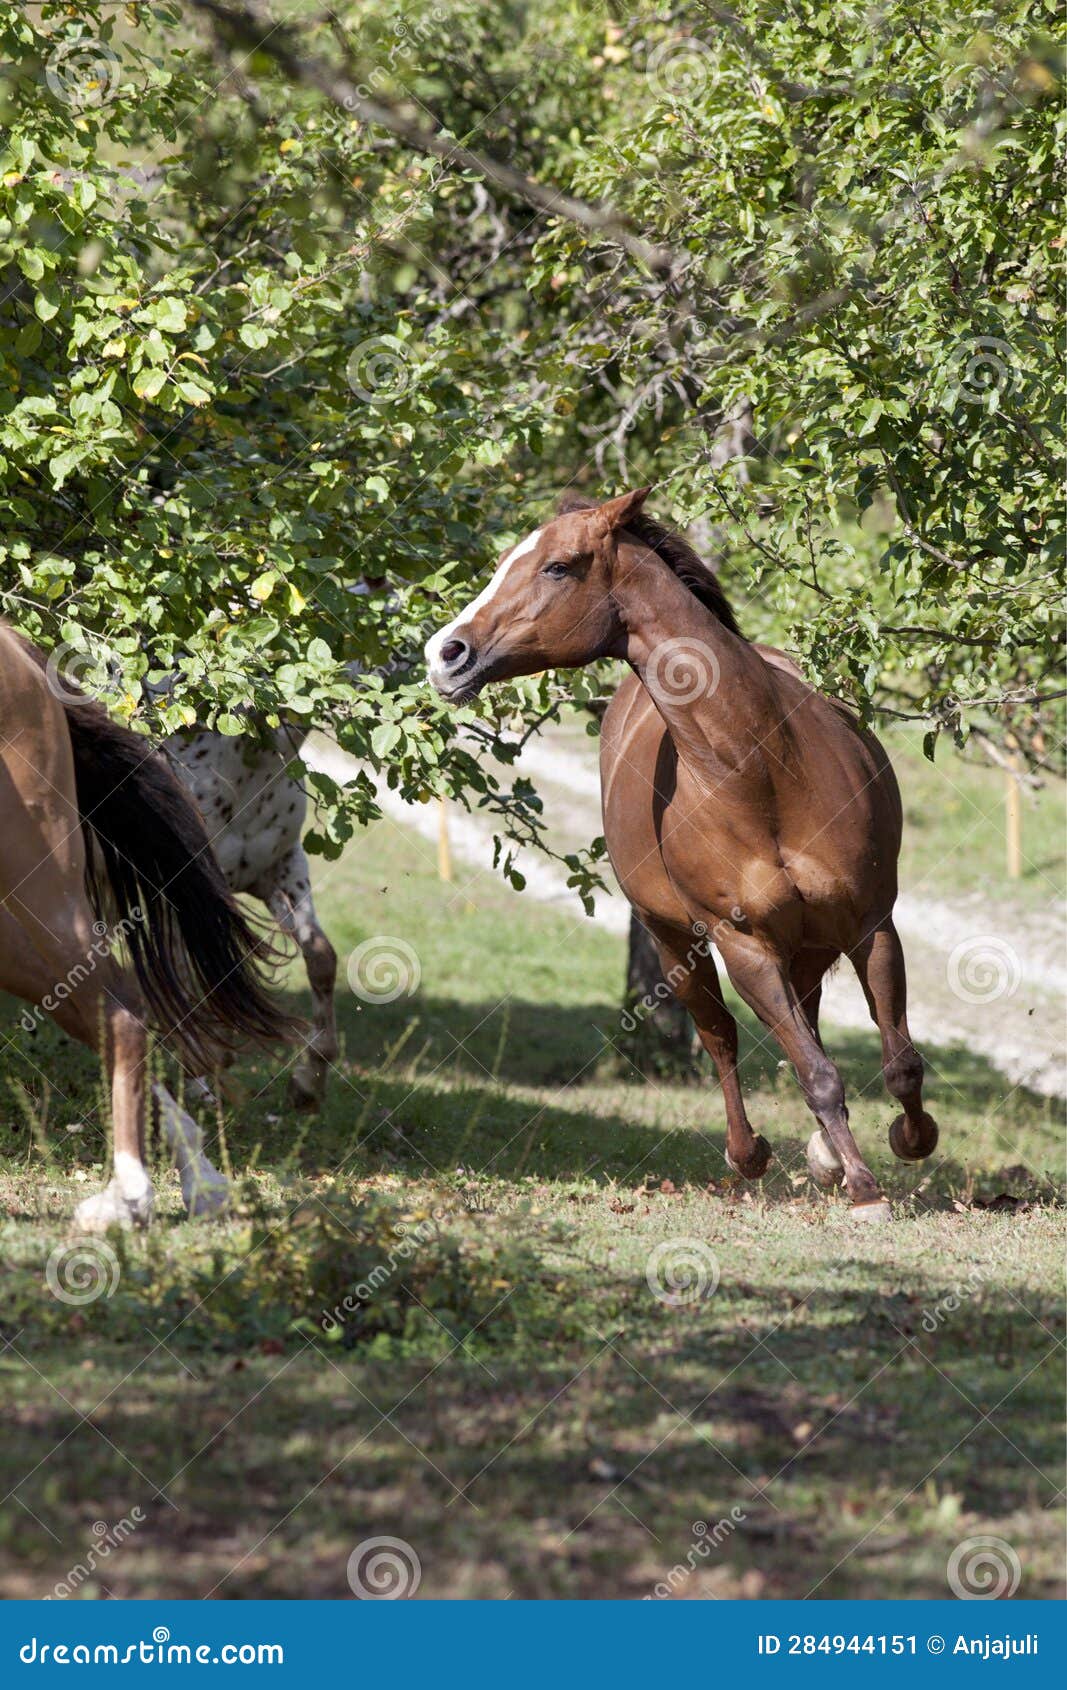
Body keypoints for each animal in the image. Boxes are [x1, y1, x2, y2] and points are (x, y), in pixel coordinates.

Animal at [0, 623, 295, 1231]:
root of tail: (23, 653)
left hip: (35, 886)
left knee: (122, 1014)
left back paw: (133, 1195)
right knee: (113, 1006)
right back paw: (197, 1183)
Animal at [424, 488, 938, 1220]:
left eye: (556, 566)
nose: (445, 654)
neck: (764, 770)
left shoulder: (871, 925)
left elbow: (899, 1061)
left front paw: (907, 1141)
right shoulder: (744, 946)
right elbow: (812, 1071)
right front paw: (864, 1188)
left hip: (809, 943)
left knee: (807, 1019)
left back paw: (821, 1156)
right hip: (677, 944)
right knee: (721, 1035)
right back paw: (751, 1154)